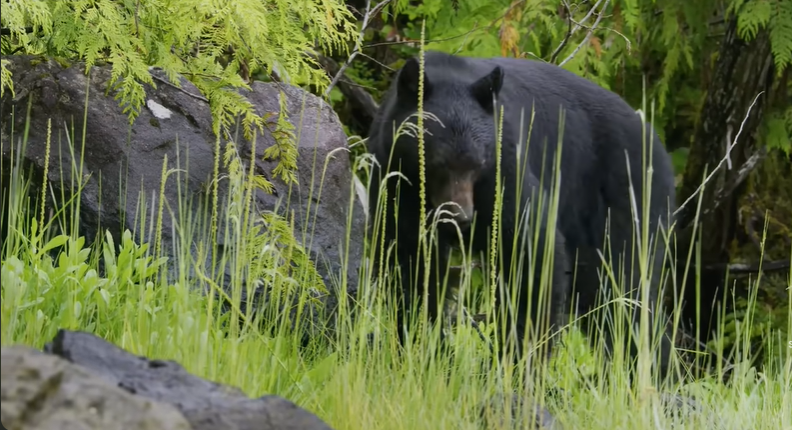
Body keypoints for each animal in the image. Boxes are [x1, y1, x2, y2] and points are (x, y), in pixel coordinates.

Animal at [365, 50, 676, 381]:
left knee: (623, 288)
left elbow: (532, 249)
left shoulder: (504, 170)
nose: (459, 217)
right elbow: (410, 260)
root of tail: (657, 144)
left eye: (478, 163)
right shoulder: (394, 179)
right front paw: (421, 347)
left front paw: (516, 361)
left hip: (623, 197)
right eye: (437, 162)